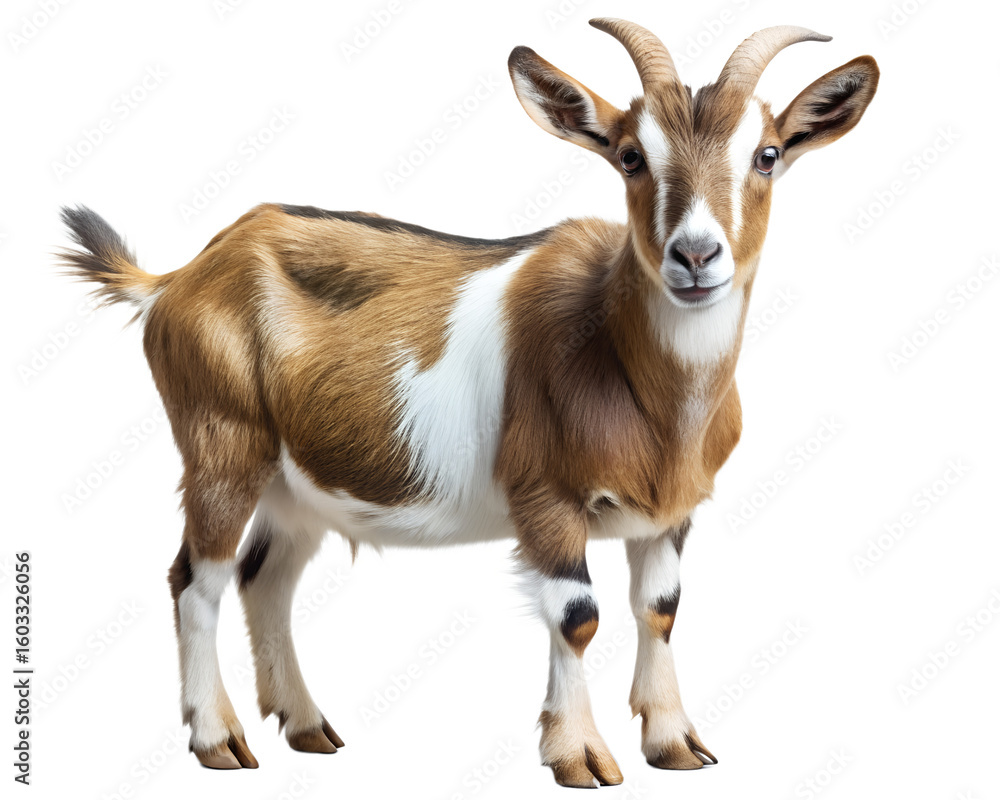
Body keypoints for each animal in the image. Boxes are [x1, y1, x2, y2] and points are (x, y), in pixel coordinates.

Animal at [59, 18, 878, 787]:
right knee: (196, 581)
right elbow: (577, 616)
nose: (696, 256)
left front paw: (675, 744)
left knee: (265, 579)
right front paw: (580, 757)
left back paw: (306, 726)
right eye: (630, 156)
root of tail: (177, 277)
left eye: (766, 155)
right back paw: (218, 741)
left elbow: (661, 609)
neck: (632, 373)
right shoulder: (545, 497)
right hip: (222, 445)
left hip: (297, 485)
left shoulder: (670, 512)